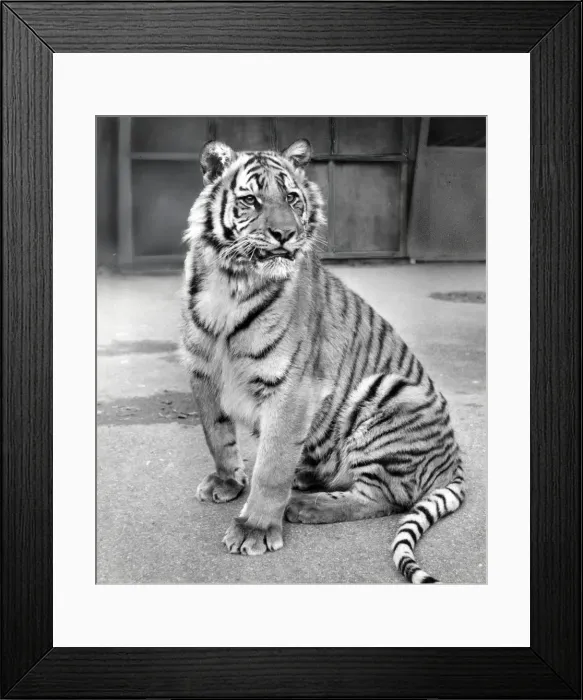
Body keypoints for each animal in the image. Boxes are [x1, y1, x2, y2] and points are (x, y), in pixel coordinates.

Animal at [180, 137, 465, 584]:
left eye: (292, 198)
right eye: (250, 200)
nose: (285, 234)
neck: (231, 281)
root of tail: (452, 463)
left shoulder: (292, 387)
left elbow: (272, 465)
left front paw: (255, 529)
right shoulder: (203, 372)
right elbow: (217, 436)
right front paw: (226, 482)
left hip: (390, 392)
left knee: (384, 497)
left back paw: (306, 506)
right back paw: (305, 480)